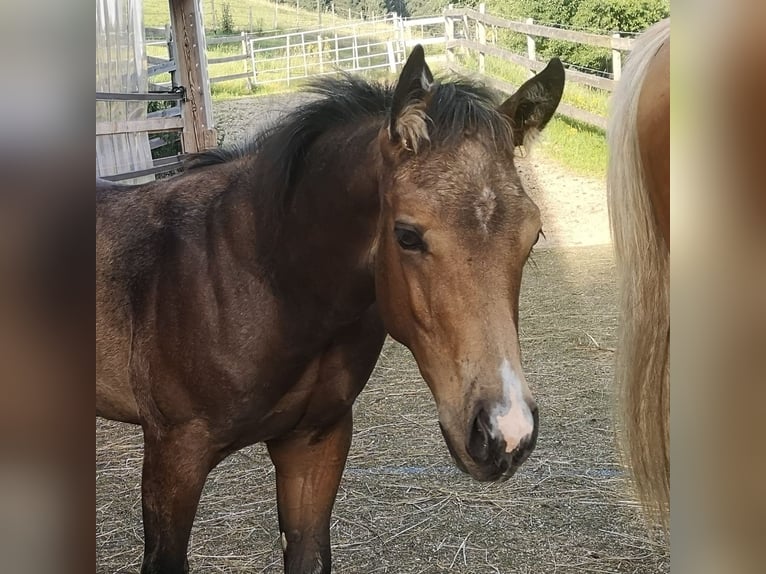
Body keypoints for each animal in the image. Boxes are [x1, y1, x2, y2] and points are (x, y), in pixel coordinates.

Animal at [96, 45, 565, 573]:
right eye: (407, 235)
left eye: (533, 236)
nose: (506, 433)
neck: (261, 276)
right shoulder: (173, 456)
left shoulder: (315, 444)